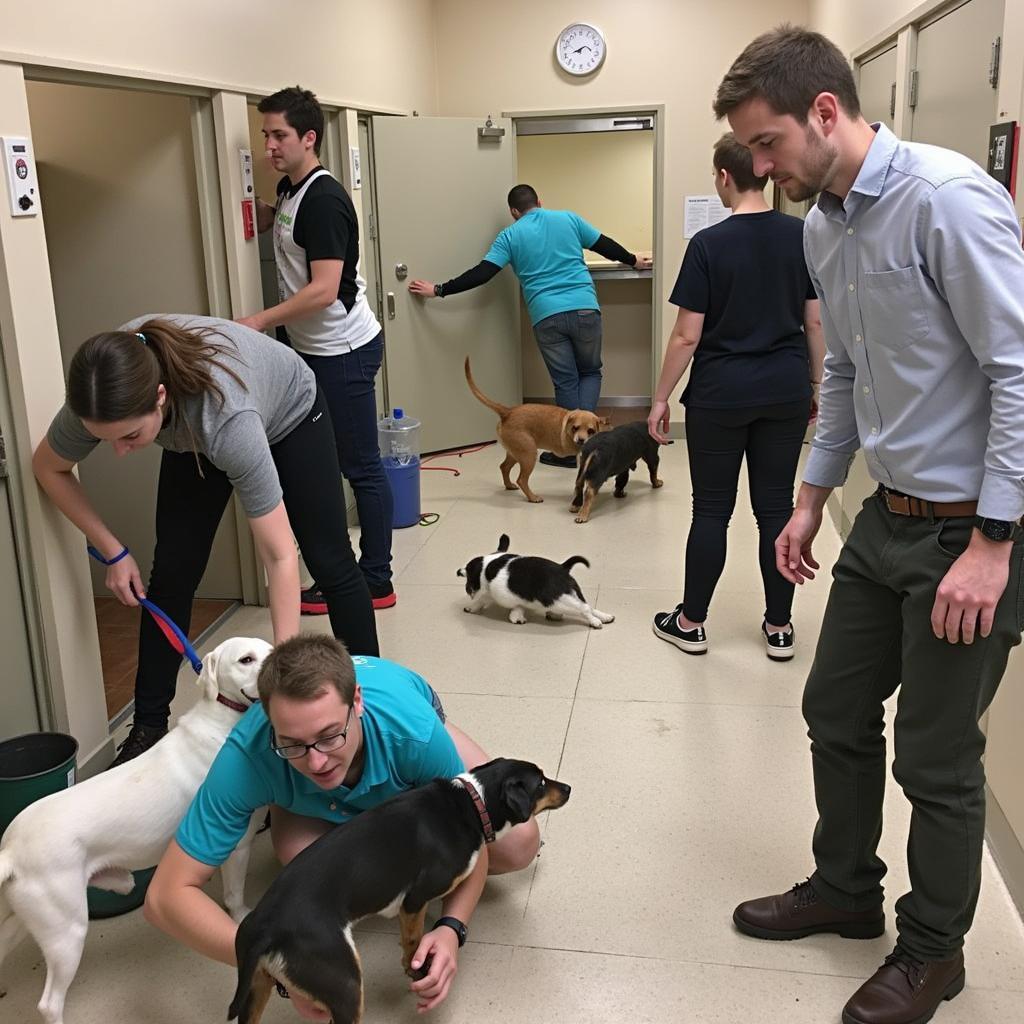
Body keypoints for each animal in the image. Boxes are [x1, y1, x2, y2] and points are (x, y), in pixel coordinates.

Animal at [0, 634, 272, 1019]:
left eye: (271, 650)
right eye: (246, 660)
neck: (226, 720)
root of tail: (10, 851)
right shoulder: (237, 845)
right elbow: (234, 897)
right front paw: (240, 916)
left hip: (22, 920)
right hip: (66, 932)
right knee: (49, 1003)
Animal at [227, 757, 573, 1019]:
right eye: (541, 783)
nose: (569, 788)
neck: (474, 804)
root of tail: (265, 928)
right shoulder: (415, 899)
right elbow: (413, 941)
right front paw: (416, 970)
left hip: (257, 988)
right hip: (345, 983)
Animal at [458, 532, 614, 626]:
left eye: (468, 587)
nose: (469, 591)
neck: (486, 566)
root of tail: (563, 567)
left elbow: (481, 601)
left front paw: (471, 607)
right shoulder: (517, 599)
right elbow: (518, 608)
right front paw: (518, 617)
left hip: (558, 601)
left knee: (584, 609)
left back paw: (594, 621)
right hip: (570, 594)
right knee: (588, 605)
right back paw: (606, 617)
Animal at [466, 356, 602, 503]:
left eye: (590, 430)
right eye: (575, 428)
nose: (581, 440)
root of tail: (508, 412)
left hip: (515, 452)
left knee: (504, 467)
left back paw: (509, 485)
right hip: (529, 454)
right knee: (521, 479)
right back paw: (532, 497)